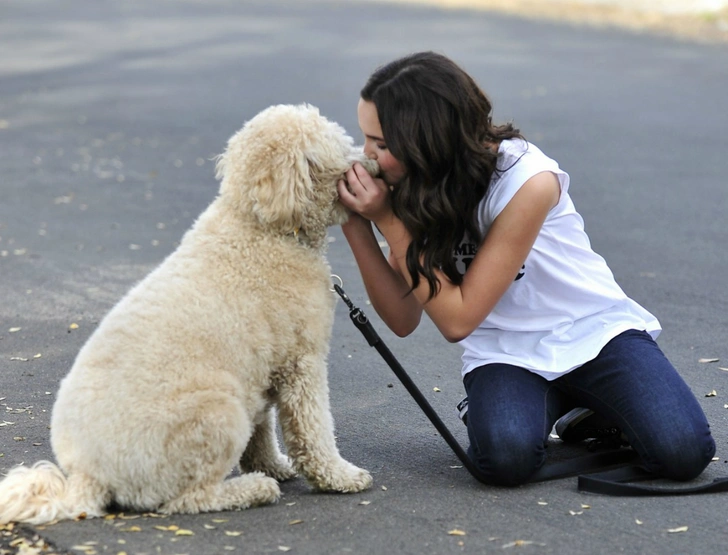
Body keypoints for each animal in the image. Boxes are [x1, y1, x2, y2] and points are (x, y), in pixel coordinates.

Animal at [0, 104, 376, 524]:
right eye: (343, 146)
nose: (374, 163)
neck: (263, 226)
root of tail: (89, 476)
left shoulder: (259, 369)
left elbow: (262, 431)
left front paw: (272, 464)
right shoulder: (302, 364)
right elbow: (314, 430)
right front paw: (339, 477)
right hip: (219, 410)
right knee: (187, 499)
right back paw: (253, 489)